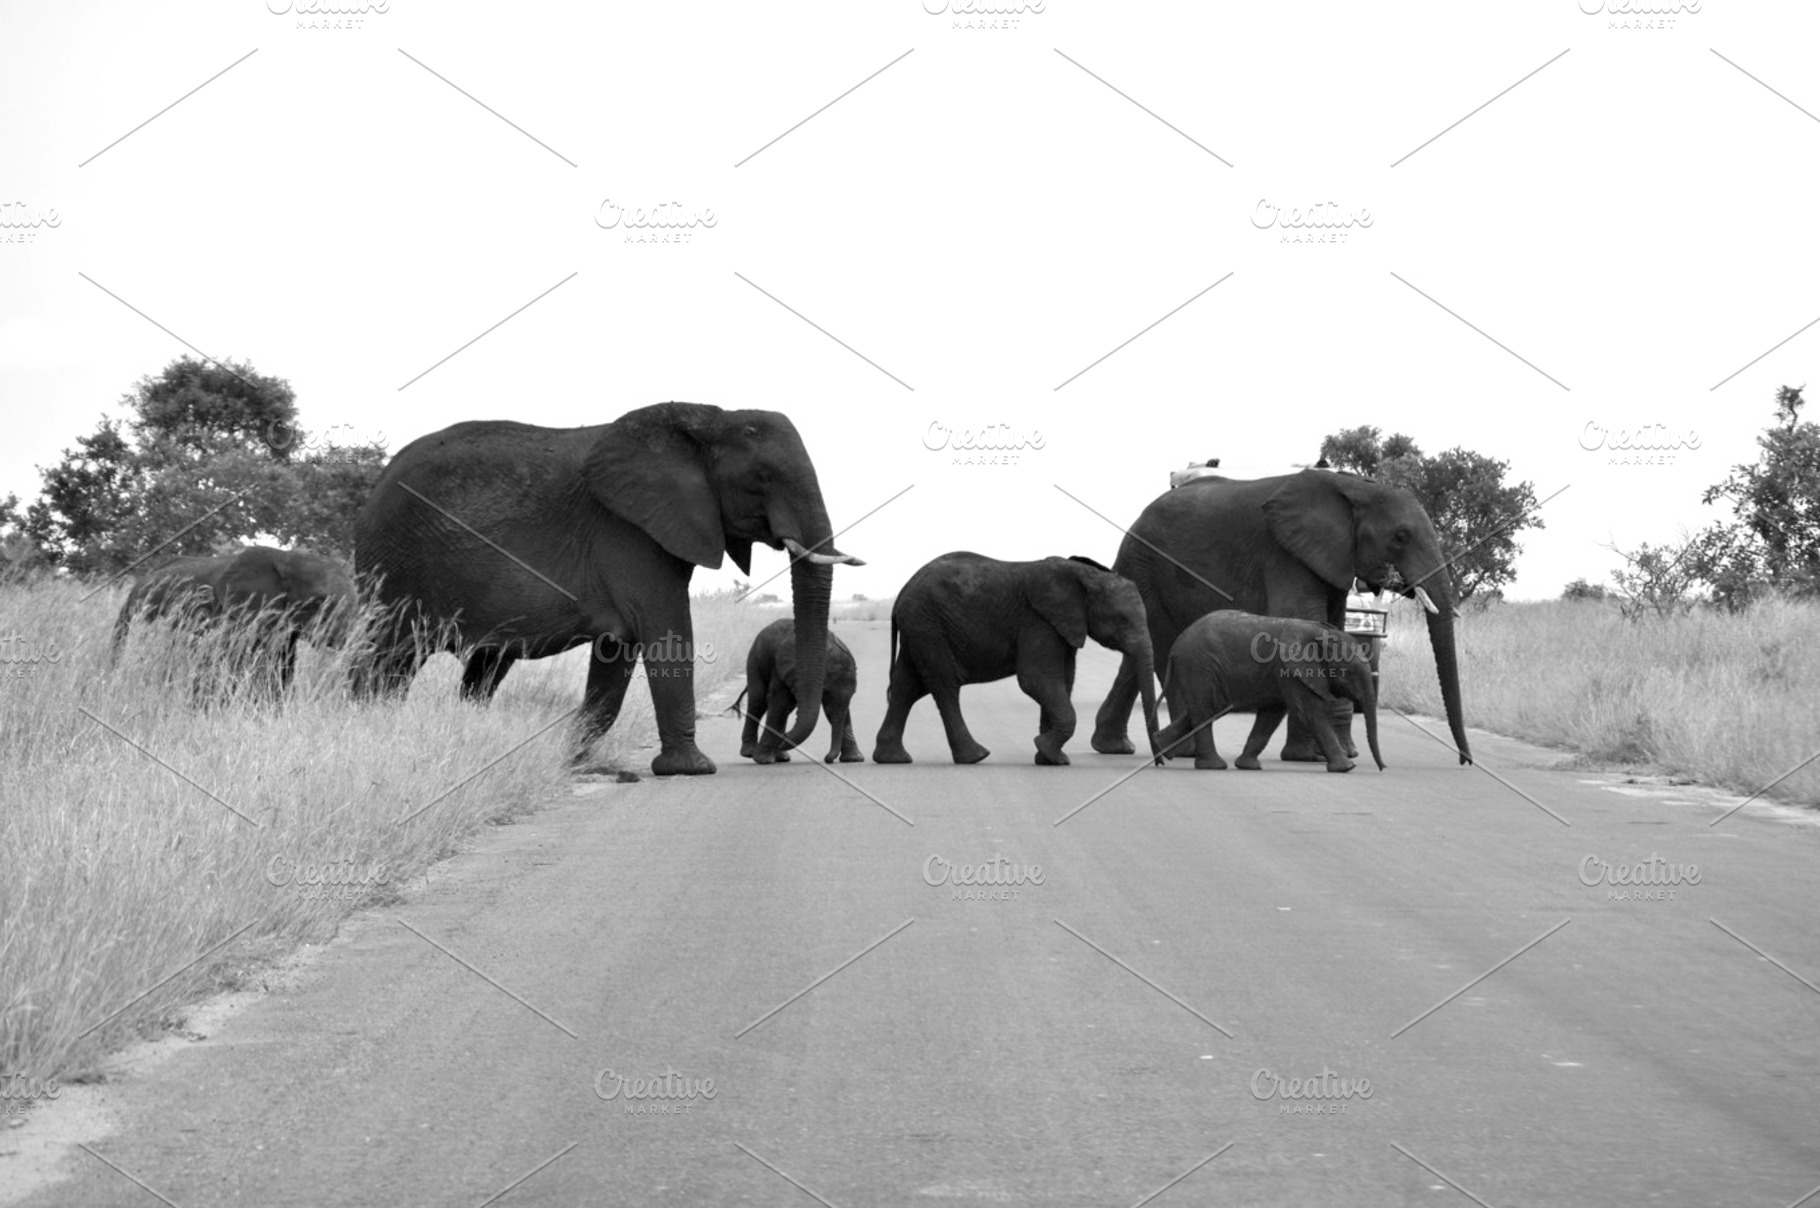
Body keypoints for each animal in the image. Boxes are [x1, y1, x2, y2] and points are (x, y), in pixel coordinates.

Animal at [734, 618, 863, 764]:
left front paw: (854, 759)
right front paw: (763, 760)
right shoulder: (784, 670)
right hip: (755, 658)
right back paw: (750, 753)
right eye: (825, 690)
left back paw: (781, 757)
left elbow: (835, 711)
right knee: (759, 701)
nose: (828, 759)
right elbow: (780, 703)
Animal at [871, 552, 1161, 766]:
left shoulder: (1062, 626)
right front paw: (1048, 752)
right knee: (944, 684)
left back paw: (893, 759)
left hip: (920, 628)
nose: (1159, 761)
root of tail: (902, 593)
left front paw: (1048, 759)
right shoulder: (1038, 621)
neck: (1086, 575)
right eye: (1121, 620)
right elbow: (1036, 679)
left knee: (906, 686)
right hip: (929, 625)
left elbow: (1062, 681)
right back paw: (975, 756)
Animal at [1153, 611, 1384, 774]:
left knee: (1212, 708)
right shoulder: (1289, 669)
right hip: (1199, 666)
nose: (1383, 768)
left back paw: (1161, 746)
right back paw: (1213, 766)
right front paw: (1347, 768)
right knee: (1205, 710)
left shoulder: (1281, 674)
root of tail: (1176, 646)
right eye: (1350, 673)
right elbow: (1310, 712)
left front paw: (1248, 766)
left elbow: (1272, 714)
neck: (1319, 632)